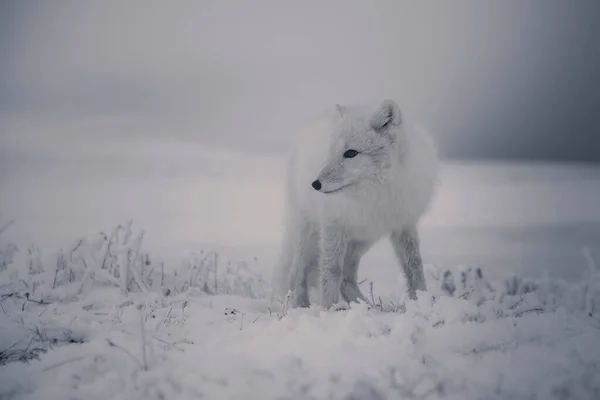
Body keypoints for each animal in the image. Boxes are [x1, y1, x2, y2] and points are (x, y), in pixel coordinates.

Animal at [272, 99, 436, 310]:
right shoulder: (333, 224)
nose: (315, 184)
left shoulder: (404, 223)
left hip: (361, 240)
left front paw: (423, 301)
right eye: (331, 153)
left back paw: (367, 306)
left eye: (351, 153)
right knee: (297, 272)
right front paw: (329, 309)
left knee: (346, 278)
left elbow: (414, 264)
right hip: (307, 232)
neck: (375, 193)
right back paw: (302, 307)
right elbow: (331, 270)